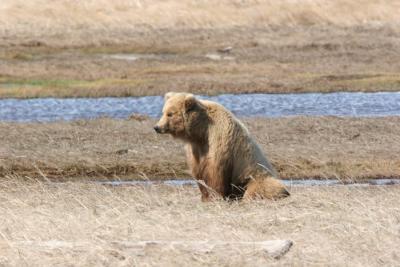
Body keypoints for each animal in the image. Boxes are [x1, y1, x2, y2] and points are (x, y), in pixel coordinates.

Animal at [154, 92, 290, 201]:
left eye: (170, 114)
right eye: (163, 112)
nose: (157, 127)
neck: (201, 132)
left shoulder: (219, 140)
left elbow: (215, 172)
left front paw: (215, 197)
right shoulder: (196, 148)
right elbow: (199, 172)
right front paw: (204, 197)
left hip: (256, 176)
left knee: (262, 187)